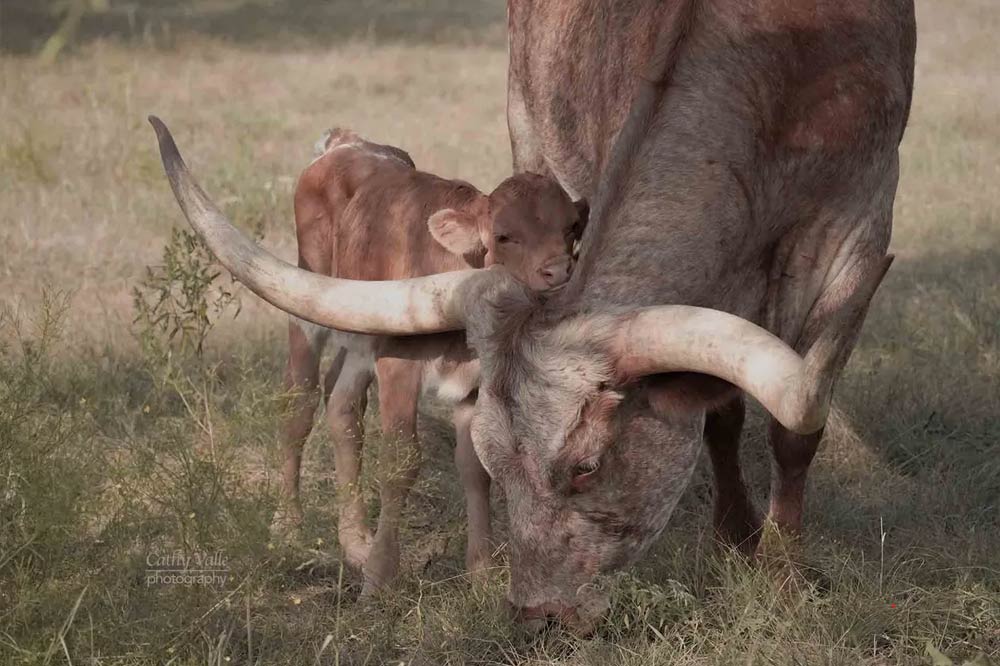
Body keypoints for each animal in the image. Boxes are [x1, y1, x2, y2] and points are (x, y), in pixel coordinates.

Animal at [278, 131, 584, 592]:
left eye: (569, 229)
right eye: (504, 235)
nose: (559, 271)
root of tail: (347, 142)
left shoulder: (477, 379)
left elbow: (475, 466)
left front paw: (482, 573)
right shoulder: (397, 365)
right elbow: (401, 462)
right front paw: (380, 579)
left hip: (360, 333)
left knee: (343, 407)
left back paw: (355, 542)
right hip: (311, 299)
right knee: (300, 403)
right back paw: (289, 525)